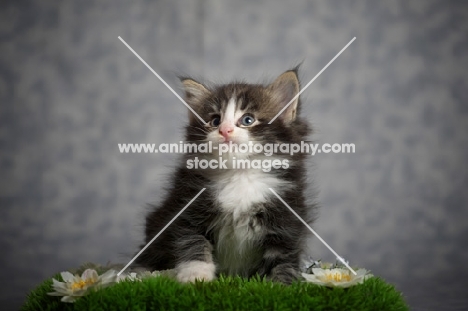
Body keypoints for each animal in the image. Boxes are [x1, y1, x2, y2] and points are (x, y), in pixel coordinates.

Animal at [135, 68, 318, 286]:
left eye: (248, 120)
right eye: (214, 121)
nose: (224, 130)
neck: (239, 174)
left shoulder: (287, 217)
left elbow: (284, 258)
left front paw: (281, 285)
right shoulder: (186, 206)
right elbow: (193, 242)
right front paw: (196, 276)